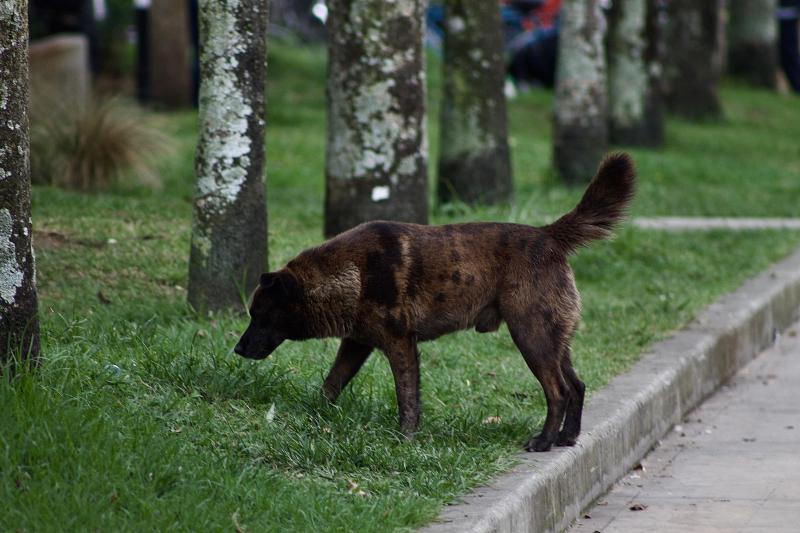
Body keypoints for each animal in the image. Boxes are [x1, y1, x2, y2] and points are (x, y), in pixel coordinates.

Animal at [234, 152, 636, 450]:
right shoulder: (356, 343)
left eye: (260, 315)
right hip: (553, 341)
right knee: (577, 386)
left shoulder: (400, 344)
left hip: (531, 336)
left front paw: (405, 439)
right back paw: (567, 437)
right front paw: (314, 416)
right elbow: (331, 384)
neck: (351, 272)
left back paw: (544, 440)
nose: (237, 349)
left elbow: (407, 397)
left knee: (559, 391)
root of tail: (548, 235)